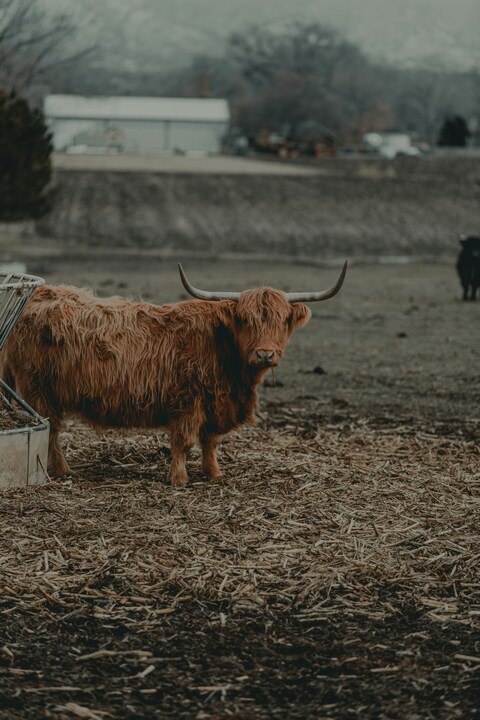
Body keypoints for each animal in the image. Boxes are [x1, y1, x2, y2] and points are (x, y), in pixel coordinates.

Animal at [1, 262, 347, 486]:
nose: (265, 353)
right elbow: (183, 441)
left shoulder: (214, 403)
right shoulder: (187, 401)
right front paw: (179, 479)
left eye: (281, 320)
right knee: (53, 430)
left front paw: (214, 473)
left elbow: (211, 441)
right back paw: (62, 471)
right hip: (37, 387)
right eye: (246, 320)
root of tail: (41, 292)